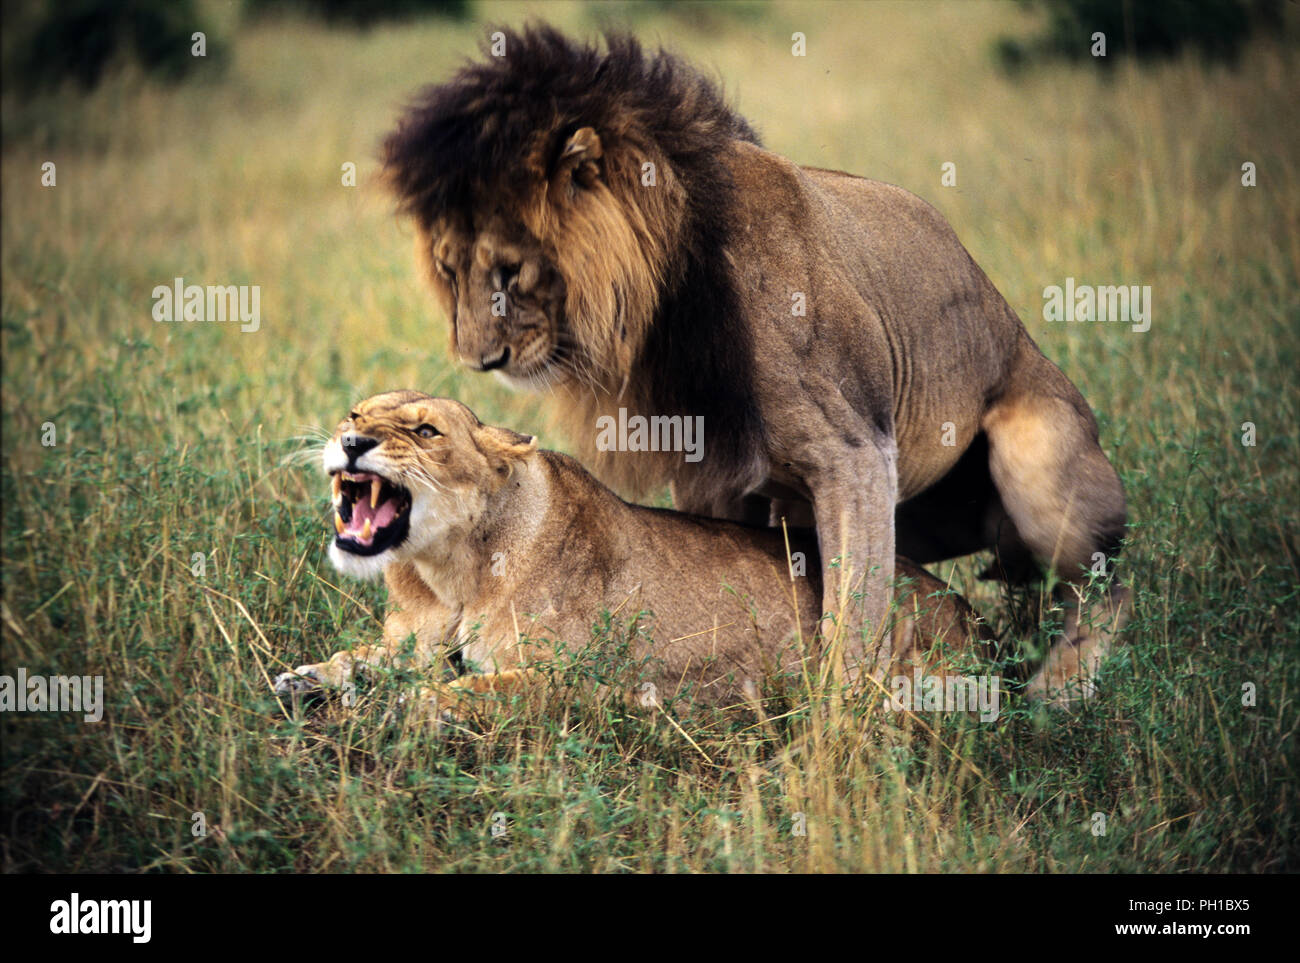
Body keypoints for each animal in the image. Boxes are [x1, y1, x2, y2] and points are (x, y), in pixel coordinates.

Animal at [273, 391, 995, 723]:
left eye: (426, 431)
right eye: (355, 412)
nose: (352, 440)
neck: (449, 570)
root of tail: (970, 614)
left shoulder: (576, 681)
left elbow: (465, 686)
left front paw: (396, 703)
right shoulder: (410, 639)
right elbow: (361, 655)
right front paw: (307, 676)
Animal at [380, 27, 1129, 704]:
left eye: (510, 270)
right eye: (449, 269)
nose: (478, 359)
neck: (673, 294)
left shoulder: (856, 455)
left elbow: (854, 616)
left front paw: (839, 729)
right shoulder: (712, 472)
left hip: (1035, 459)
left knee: (1107, 579)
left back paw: (1060, 691)